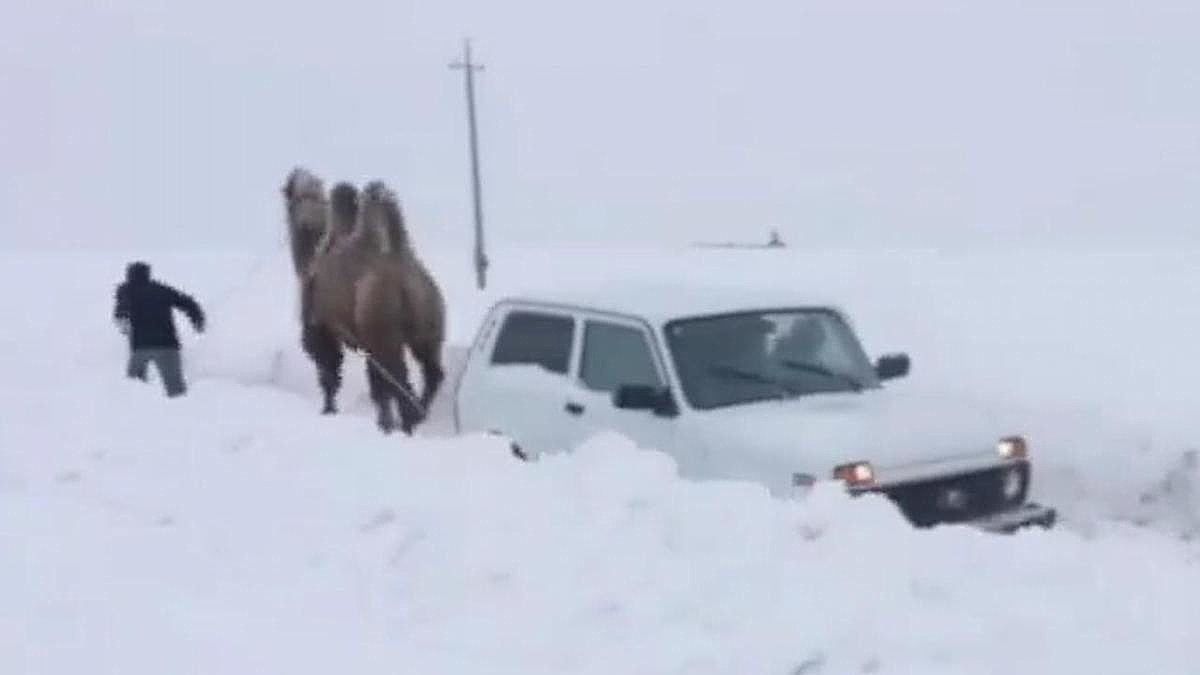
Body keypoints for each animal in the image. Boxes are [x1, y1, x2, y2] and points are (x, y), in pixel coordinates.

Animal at [297, 177, 448, 429]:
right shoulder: (366, 341)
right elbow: (376, 383)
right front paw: (384, 421)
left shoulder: (320, 326)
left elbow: (330, 369)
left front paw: (329, 410)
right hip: (428, 328)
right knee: (431, 372)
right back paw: (418, 415)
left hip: (384, 330)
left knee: (397, 377)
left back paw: (408, 420)